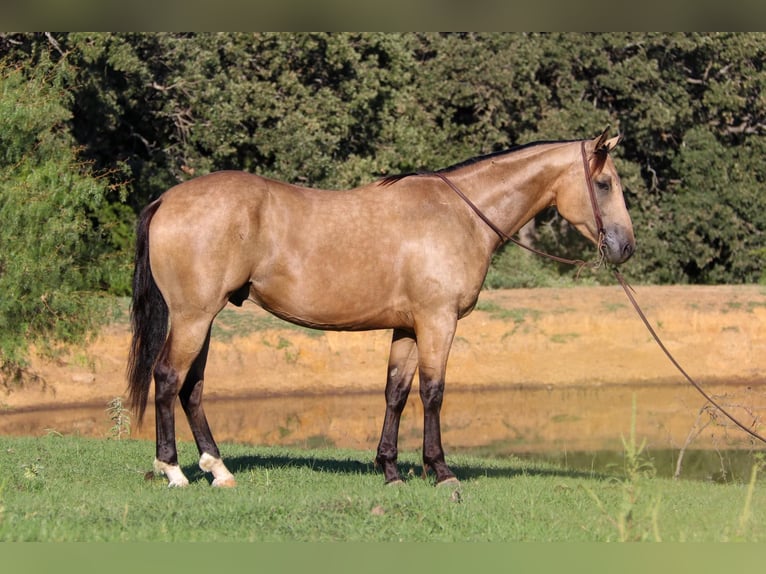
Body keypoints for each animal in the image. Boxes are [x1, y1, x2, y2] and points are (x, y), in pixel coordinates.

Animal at [129, 132, 640, 490]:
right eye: (604, 183)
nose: (625, 247)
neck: (459, 214)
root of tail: (167, 198)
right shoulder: (437, 322)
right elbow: (433, 393)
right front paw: (440, 470)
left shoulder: (408, 328)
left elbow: (395, 392)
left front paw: (390, 469)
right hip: (194, 316)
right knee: (169, 379)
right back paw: (173, 470)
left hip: (204, 318)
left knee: (192, 388)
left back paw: (218, 469)